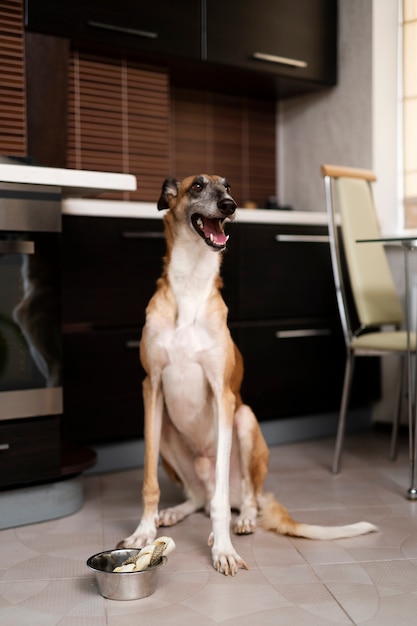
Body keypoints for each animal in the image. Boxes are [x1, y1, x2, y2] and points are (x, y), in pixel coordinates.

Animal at [118, 173, 376, 572]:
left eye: (228, 187)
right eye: (197, 186)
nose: (230, 206)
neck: (190, 286)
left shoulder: (223, 395)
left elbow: (222, 502)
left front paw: (222, 548)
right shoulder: (152, 389)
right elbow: (149, 482)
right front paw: (144, 531)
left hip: (245, 420)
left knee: (239, 497)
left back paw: (244, 520)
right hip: (167, 435)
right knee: (201, 497)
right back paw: (177, 511)